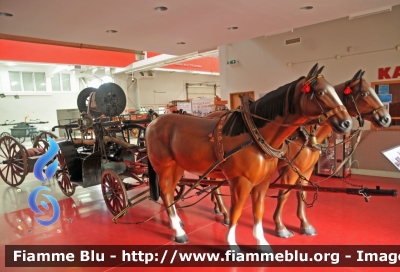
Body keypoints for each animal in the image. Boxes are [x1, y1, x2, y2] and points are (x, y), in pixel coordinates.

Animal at [145, 63, 352, 251]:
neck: (254, 135)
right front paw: (232, 245)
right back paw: (179, 233)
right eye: (321, 92)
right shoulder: (241, 181)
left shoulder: (263, 181)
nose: (346, 123)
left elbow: (258, 211)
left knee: (171, 192)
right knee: (166, 192)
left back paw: (177, 223)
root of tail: (152, 123)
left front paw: (262, 243)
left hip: (177, 167)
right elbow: (236, 212)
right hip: (164, 167)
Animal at [272, 70, 390, 238]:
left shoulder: (306, 170)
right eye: (364, 93)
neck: (304, 136)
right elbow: (283, 195)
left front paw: (305, 225)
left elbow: (302, 194)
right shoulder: (290, 170)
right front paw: (280, 227)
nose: (387, 118)